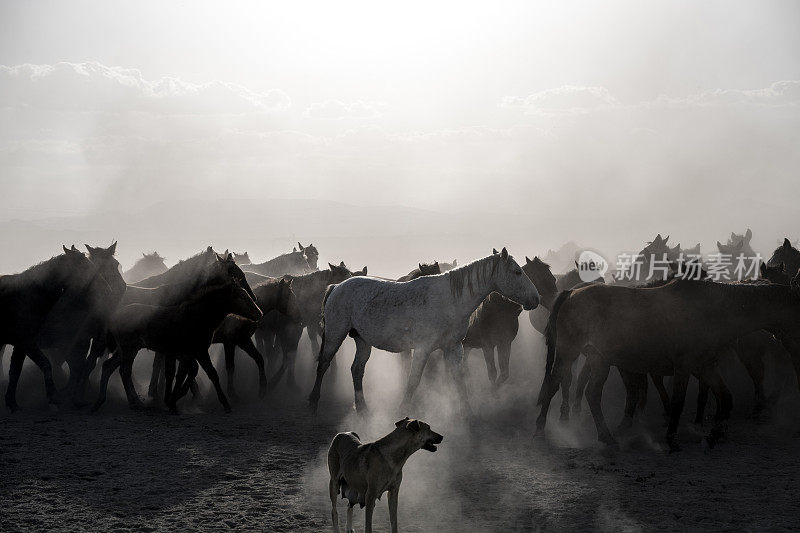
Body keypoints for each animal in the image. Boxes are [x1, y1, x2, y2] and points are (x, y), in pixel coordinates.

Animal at [0, 247, 106, 410]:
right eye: (83, 264)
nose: (105, 285)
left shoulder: (21, 345)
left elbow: (15, 372)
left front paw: (12, 402)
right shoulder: (27, 342)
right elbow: (45, 364)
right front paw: (54, 396)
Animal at [92, 274, 262, 412]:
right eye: (242, 297)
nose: (259, 313)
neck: (196, 317)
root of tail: (115, 316)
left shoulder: (187, 353)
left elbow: (185, 372)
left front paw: (173, 400)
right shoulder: (199, 351)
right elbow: (210, 374)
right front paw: (225, 404)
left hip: (126, 349)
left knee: (109, 367)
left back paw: (101, 401)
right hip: (129, 349)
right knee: (124, 371)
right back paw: (135, 403)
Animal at [310, 247, 540, 414]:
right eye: (517, 272)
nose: (535, 299)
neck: (449, 300)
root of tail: (337, 287)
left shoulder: (453, 348)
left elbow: (459, 380)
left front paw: (467, 414)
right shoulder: (422, 349)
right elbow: (413, 381)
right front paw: (403, 409)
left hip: (363, 341)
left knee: (357, 370)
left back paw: (363, 409)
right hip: (335, 336)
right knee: (323, 364)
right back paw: (314, 401)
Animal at [536, 270, 800, 448]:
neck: (714, 310)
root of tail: (572, 293)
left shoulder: (704, 367)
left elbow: (725, 398)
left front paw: (715, 434)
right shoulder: (684, 367)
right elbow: (678, 402)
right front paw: (672, 438)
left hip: (600, 359)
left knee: (591, 394)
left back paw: (606, 436)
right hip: (569, 353)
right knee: (555, 383)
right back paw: (541, 427)